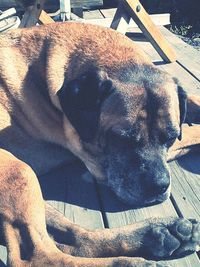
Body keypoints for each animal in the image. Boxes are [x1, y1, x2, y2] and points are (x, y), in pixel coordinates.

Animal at [0, 22, 199, 266]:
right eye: (121, 139)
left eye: (171, 137)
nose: (159, 186)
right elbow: (195, 131)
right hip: (16, 169)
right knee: (39, 255)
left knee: (75, 239)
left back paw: (160, 234)